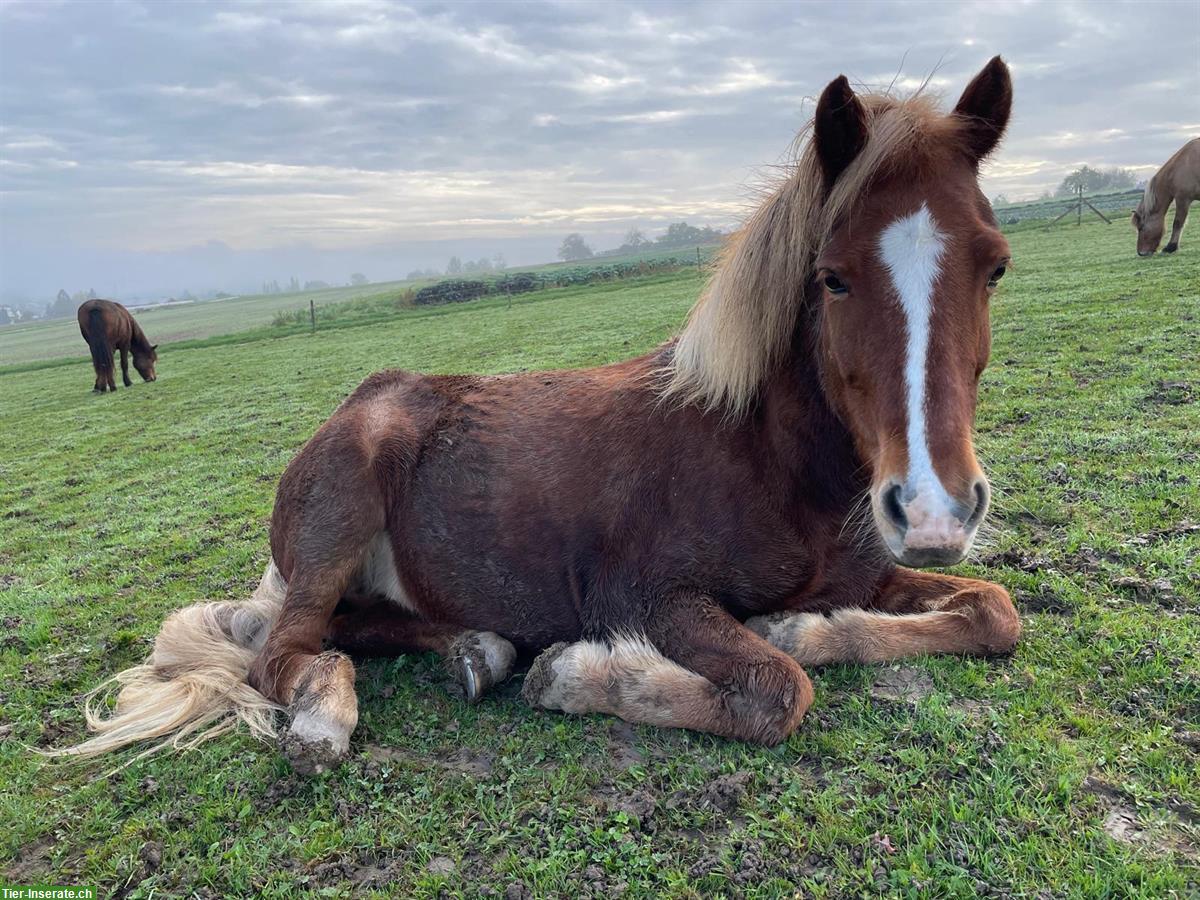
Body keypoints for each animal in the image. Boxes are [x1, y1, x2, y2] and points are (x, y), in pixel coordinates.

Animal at [54, 56, 1022, 777]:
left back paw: (476, 651)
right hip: (342, 510)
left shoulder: (874, 577)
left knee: (352, 627)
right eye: (833, 277)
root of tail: (357, 404)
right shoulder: (653, 598)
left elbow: (992, 613)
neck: (770, 461)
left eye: (996, 265)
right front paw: (580, 676)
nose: (934, 510)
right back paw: (329, 714)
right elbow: (777, 688)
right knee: (285, 651)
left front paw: (804, 627)